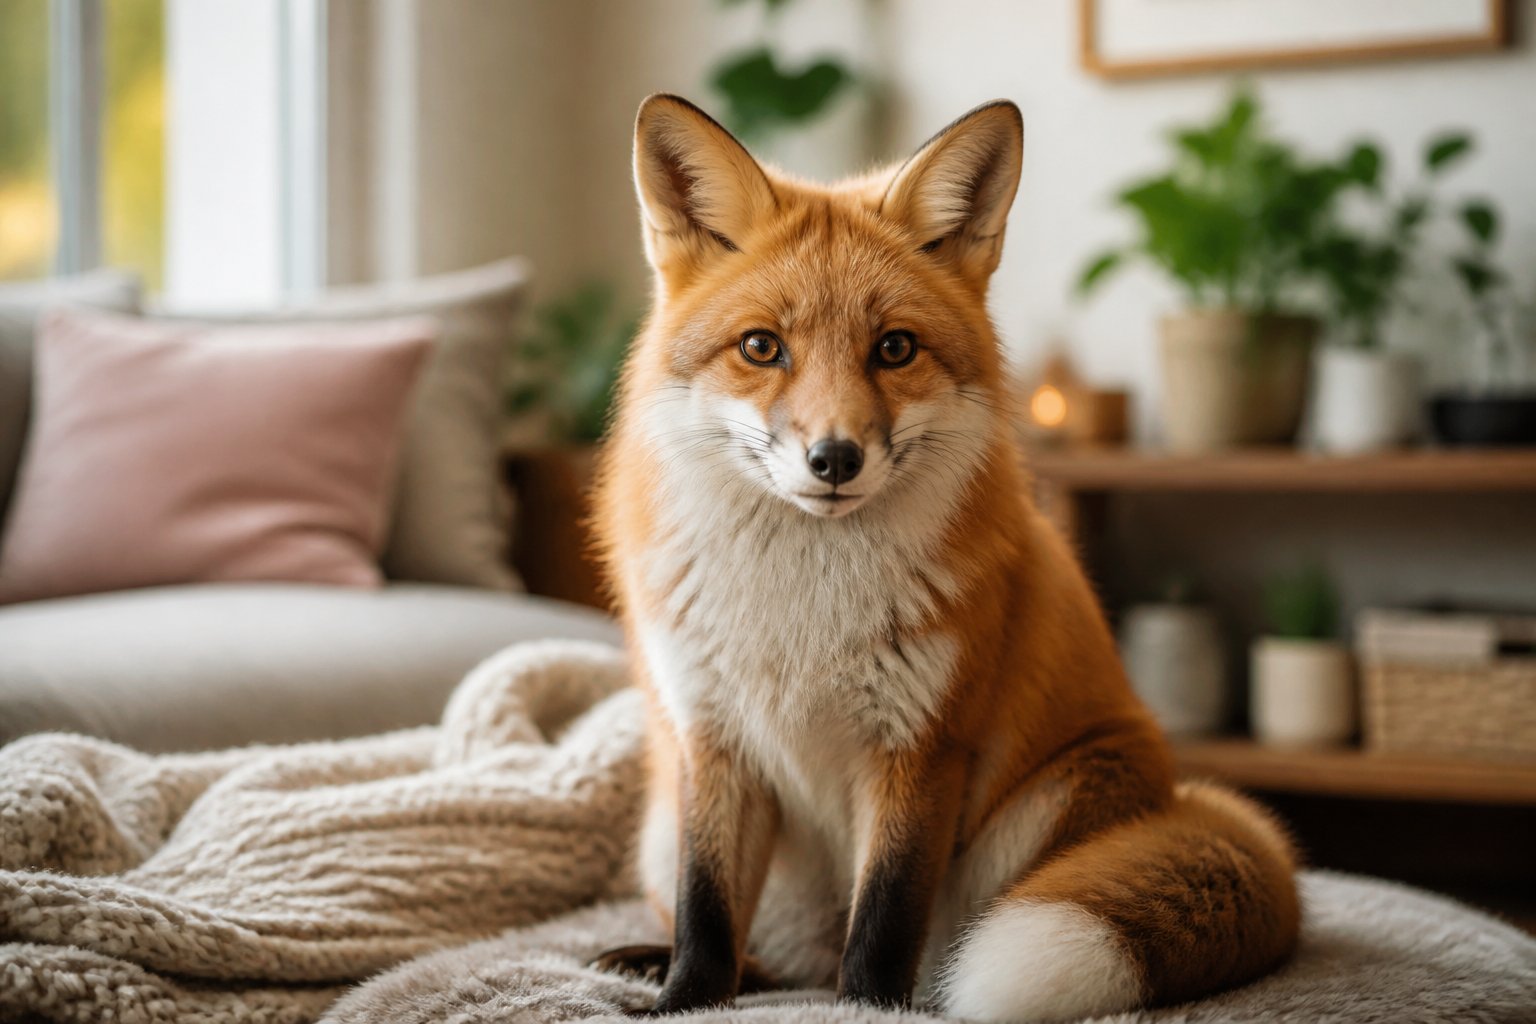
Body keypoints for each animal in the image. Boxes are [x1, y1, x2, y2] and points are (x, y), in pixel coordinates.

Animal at [590, 94, 1300, 1021]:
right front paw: (681, 1002)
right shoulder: (713, 743)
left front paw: (866, 1010)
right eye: (761, 348)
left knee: (925, 956)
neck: (800, 613)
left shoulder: (922, 747)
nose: (835, 459)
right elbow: (706, 919)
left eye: (894, 348)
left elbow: (884, 925)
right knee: (763, 961)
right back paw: (662, 963)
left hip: (1050, 802)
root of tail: (1181, 797)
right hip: (658, 821)